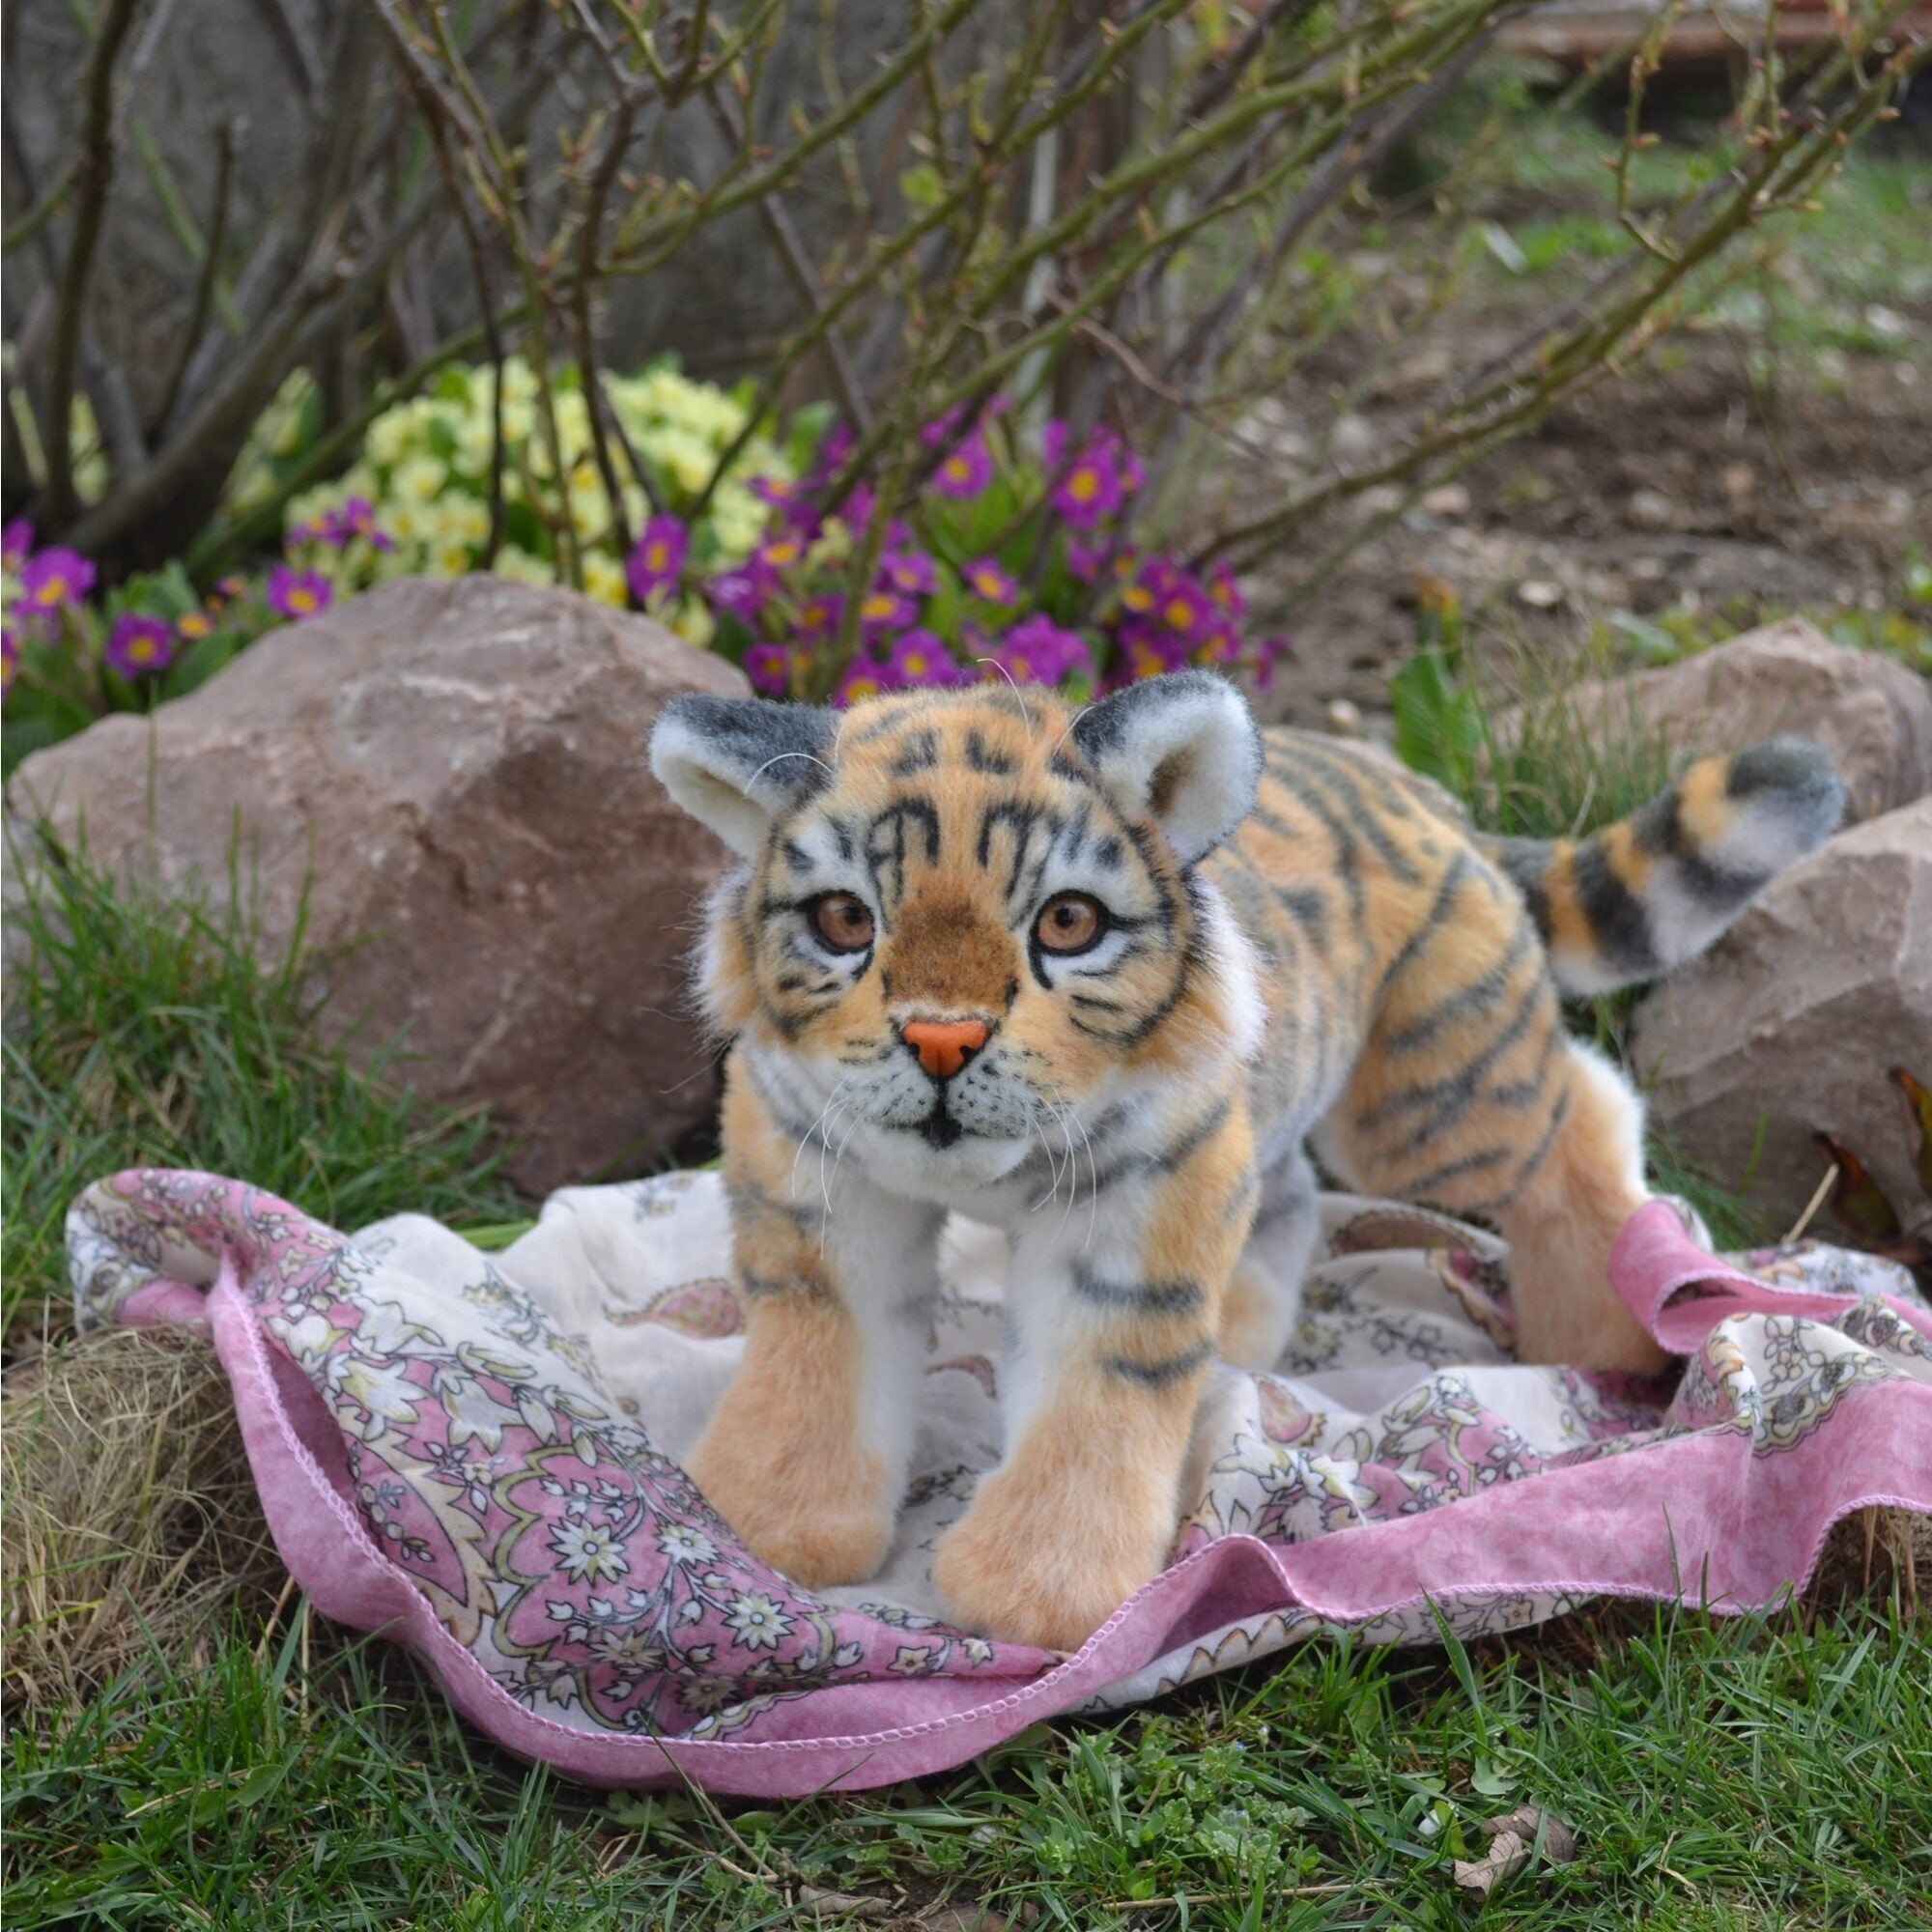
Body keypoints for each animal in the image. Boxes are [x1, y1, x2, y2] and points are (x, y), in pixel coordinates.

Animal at [648, 670, 1842, 1651]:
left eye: (1066, 923)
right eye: (845, 919)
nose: (942, 1041)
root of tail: (1430, 797)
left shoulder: (1131, 1202)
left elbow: (1092, 1391)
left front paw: (1037, 1592)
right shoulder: (816, 1172)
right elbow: (820, 1355)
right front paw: (770, 1522)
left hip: (1424, 1100)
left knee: (1581, 1104)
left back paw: (1599, 1330)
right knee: (1298, 1194)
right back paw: (1242, 1334)